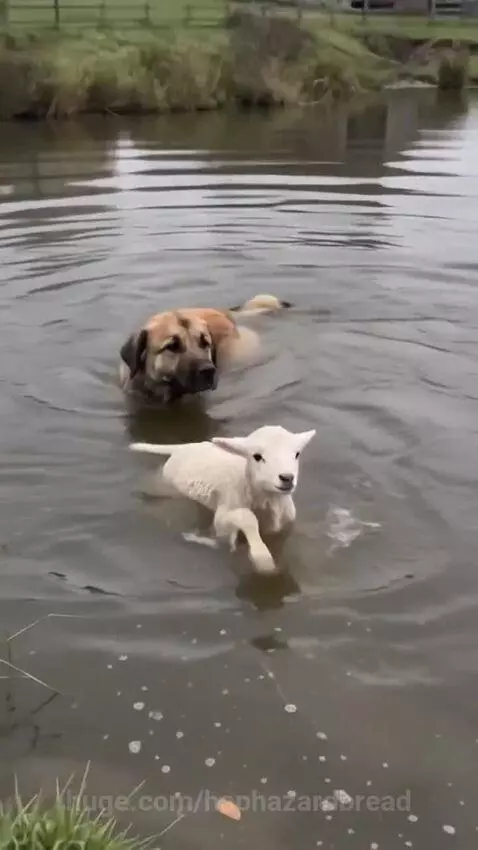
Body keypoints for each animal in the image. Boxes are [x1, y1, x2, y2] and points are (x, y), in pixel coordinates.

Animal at [129, 425, 316, 574]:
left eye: (297, 454)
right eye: (257, 456)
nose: (287, 478)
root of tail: (185, 447)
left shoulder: (283, 526)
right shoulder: (223, 516)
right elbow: (246, 518)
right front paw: (261, 558)